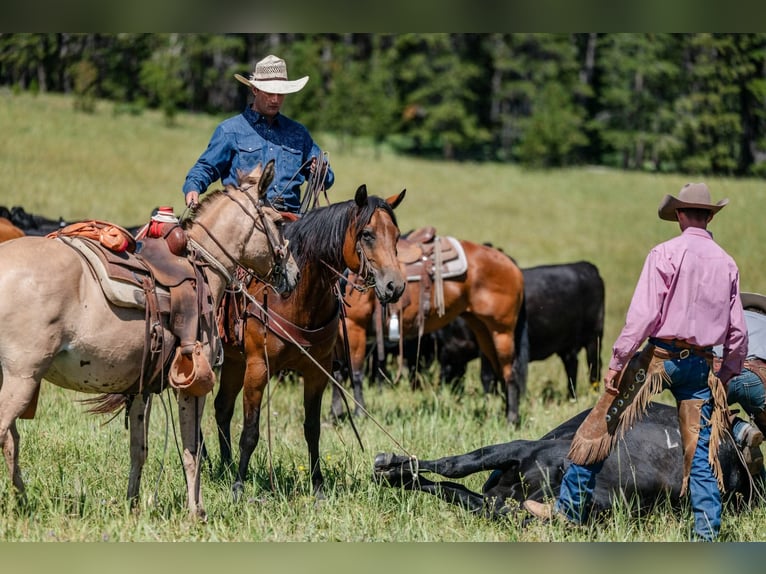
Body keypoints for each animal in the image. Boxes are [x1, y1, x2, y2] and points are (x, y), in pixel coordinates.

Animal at [0, 161, 300, 517]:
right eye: (279, 222)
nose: (294, 274)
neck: (203, 268)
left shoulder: (141, 386)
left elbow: (138, 450)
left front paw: (132, 506)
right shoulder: (193, 387)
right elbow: (192, 450)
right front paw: (196, 512)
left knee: (12, 439)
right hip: (21, 377)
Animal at [213, 185, 407, 499]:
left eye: (397, 235)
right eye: (367, 234)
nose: (395, 286)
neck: (294, 297)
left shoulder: (317, 372)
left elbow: (312, 429)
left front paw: (318, 487)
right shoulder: (258, 368)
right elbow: (251, 431)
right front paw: (239, 488)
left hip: (233, 361)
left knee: (222, 407)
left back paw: (224, 466)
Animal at [331, 234, 527, 425]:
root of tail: (510, 263)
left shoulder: (354, 326)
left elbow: (356, 373)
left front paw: (358, 415)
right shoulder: (339, 334)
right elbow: (337, 374)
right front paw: (335, 415)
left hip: (501, 331)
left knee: (511, 372)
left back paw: (512, 420)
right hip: (483, 330)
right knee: (500, 371)